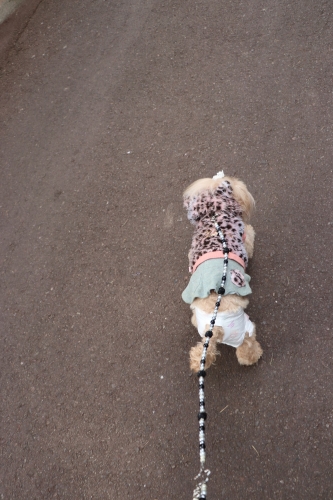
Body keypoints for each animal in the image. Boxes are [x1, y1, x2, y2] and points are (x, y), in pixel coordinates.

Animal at [182, 172, 262, 372]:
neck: (214, 213)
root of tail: (216, 328)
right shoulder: (245, 237)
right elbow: (250, 239)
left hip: (204, 325)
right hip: (244, 329)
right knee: (247, 347)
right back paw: (254, 356)